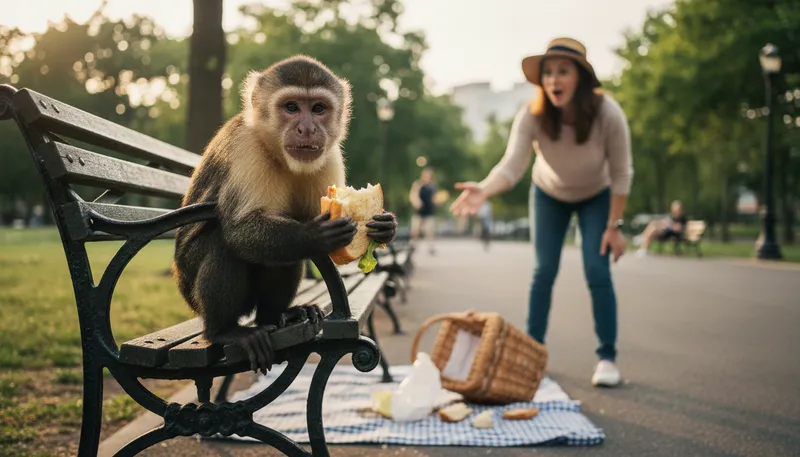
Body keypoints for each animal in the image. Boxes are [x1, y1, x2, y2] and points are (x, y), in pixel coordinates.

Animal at [172, 55, 397, 374]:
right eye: (291, 107)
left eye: (318, 109)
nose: (307, 129)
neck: (277, 151)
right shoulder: (246, 147)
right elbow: (240, 231)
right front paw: (315, 234)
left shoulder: (329, 155)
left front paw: (385, 228)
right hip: (188, 287)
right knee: (223, 244)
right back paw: (224, 331)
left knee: (285, 256)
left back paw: (275, 316)